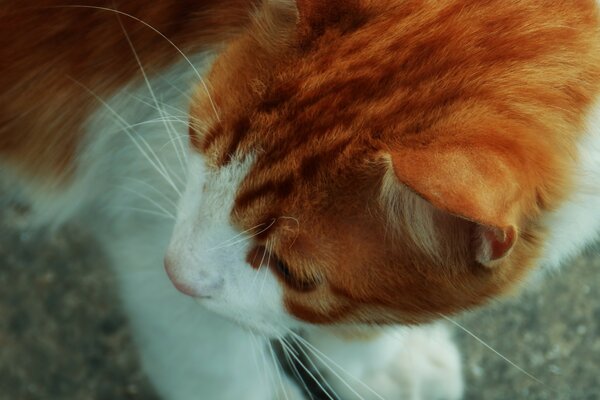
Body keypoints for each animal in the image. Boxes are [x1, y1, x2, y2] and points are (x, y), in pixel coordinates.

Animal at [3, 0, 600, 400]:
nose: (177, 272)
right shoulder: (141, 194)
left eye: (293, 272)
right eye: (193, 136)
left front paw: (377, 363)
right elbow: (214, 367)